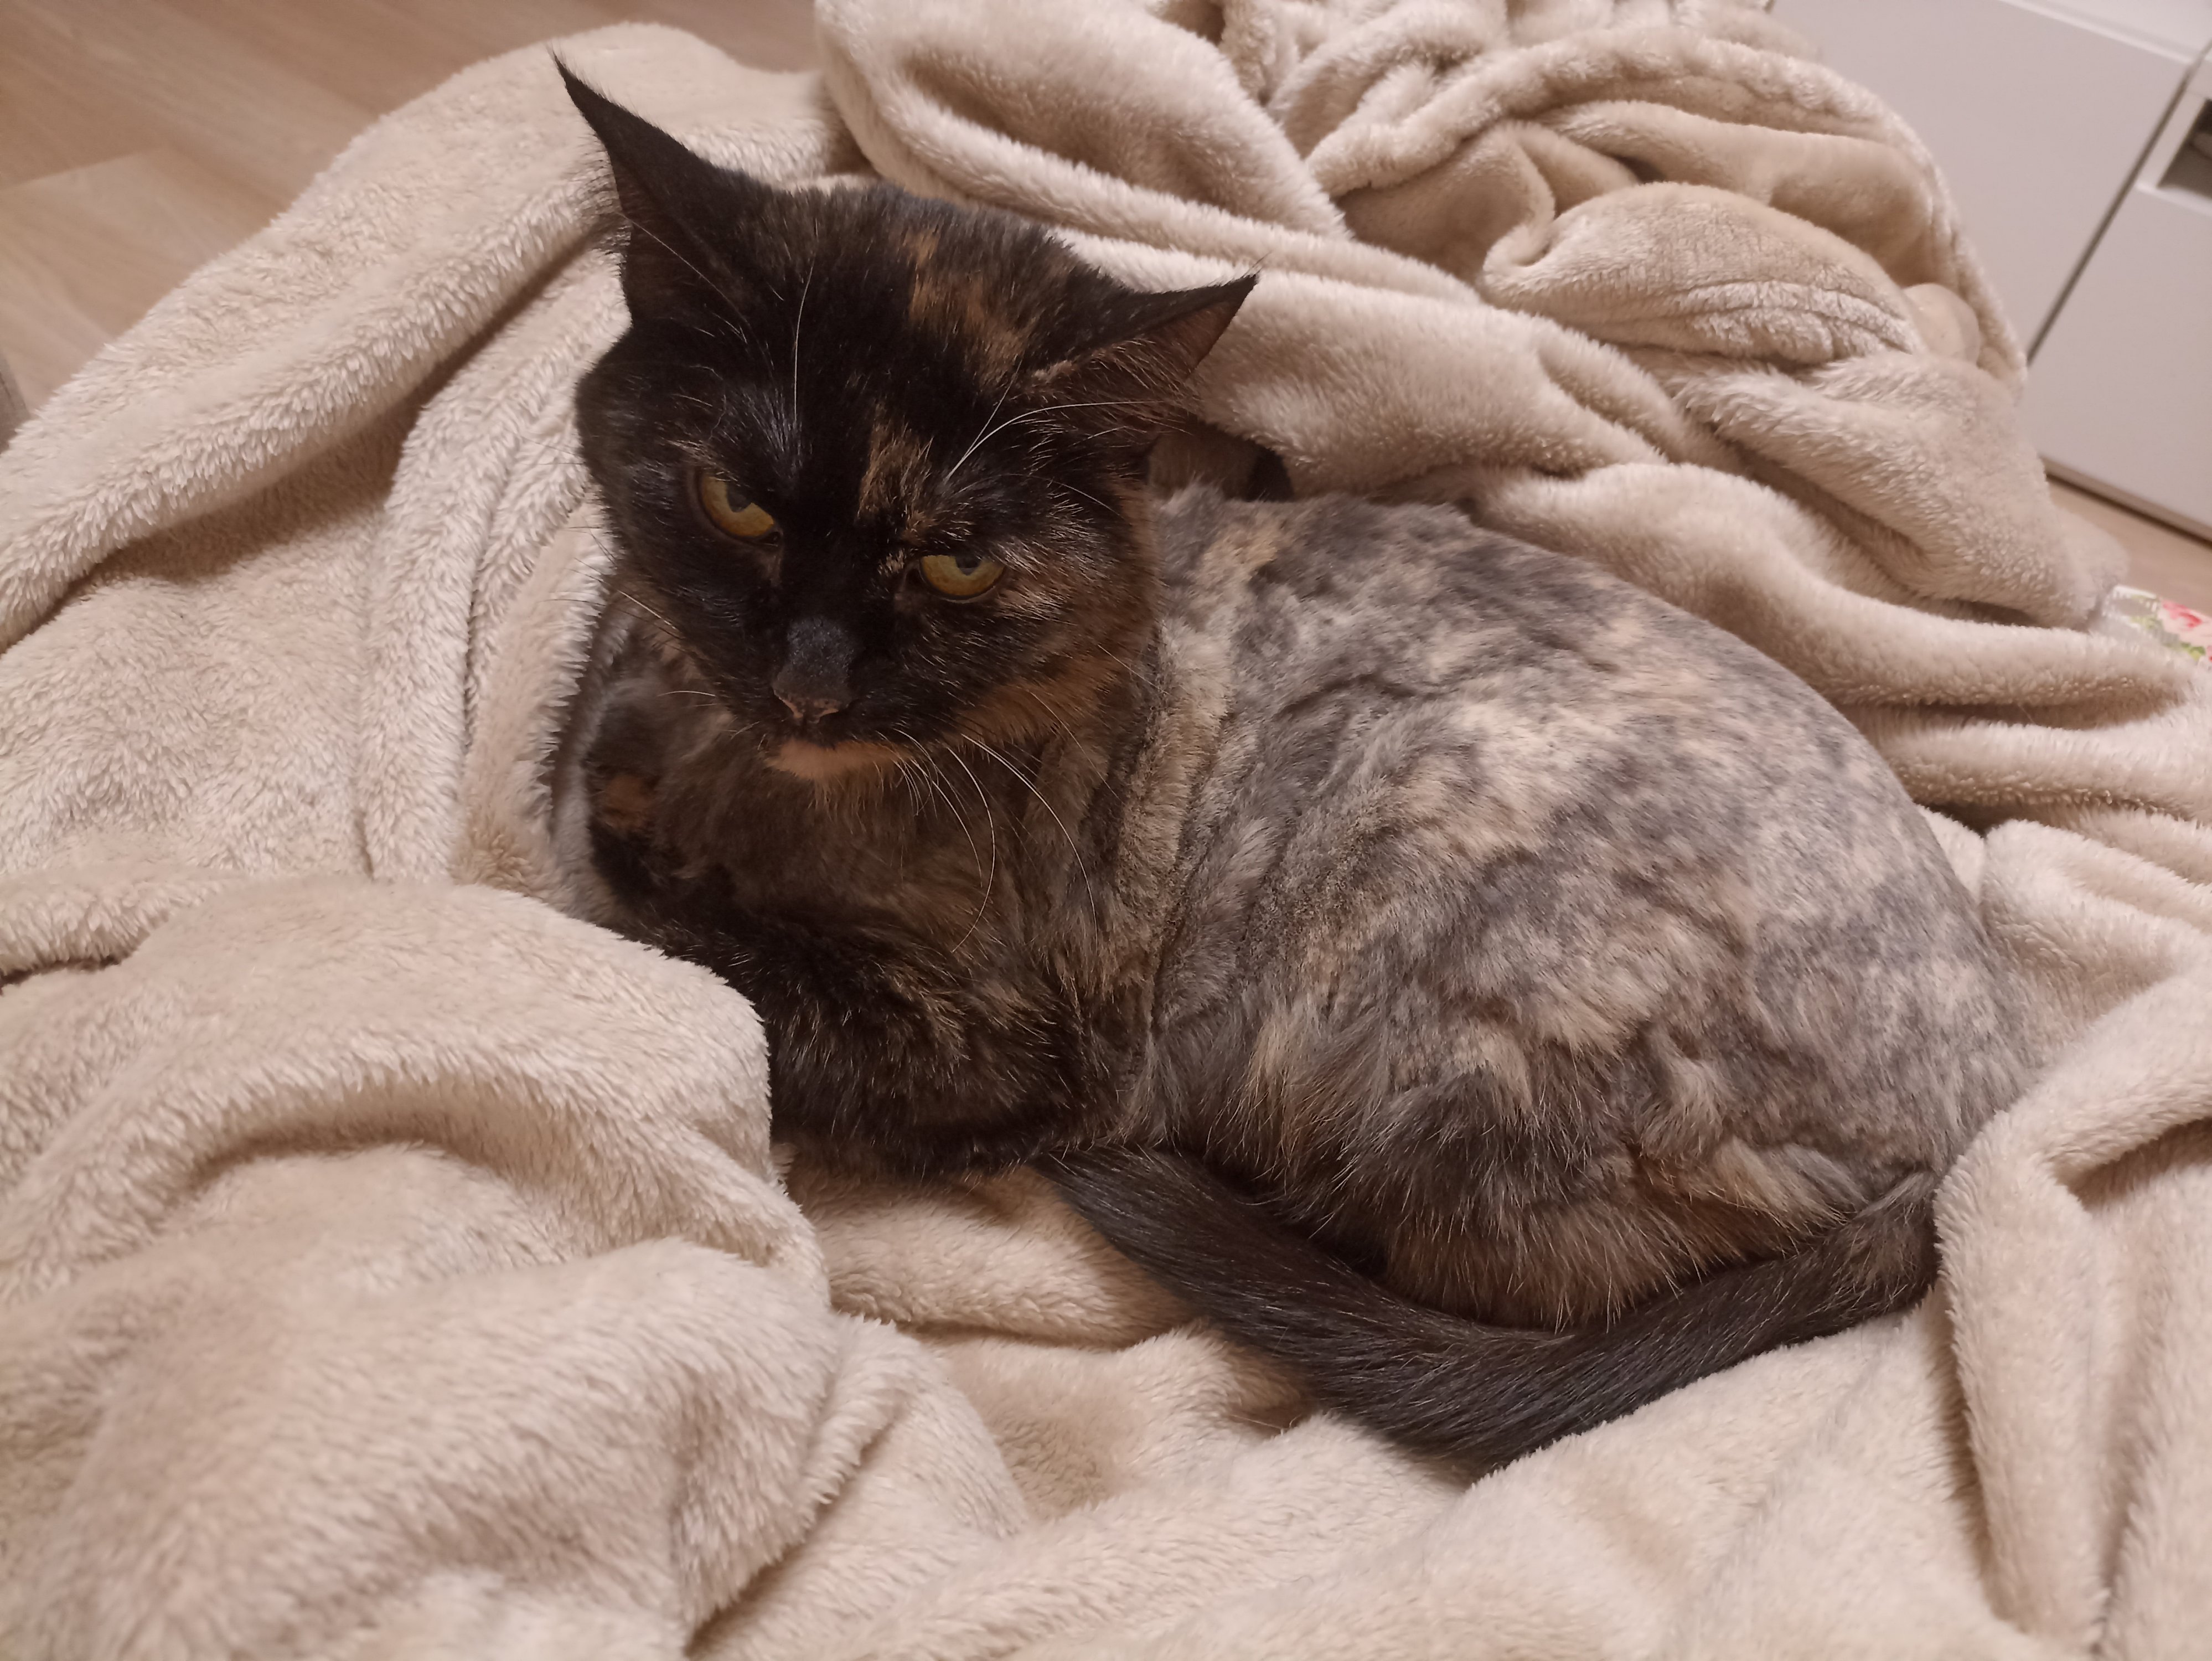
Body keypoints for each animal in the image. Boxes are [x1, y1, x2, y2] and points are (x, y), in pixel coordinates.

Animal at [555, 67, 2024, 1468]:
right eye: (735, 504)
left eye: (955, 563)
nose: (807, 679)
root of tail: (1975, 1127)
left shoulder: (1002, 1044)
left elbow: (718, 967)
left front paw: (649, 859)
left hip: (1409, 843)